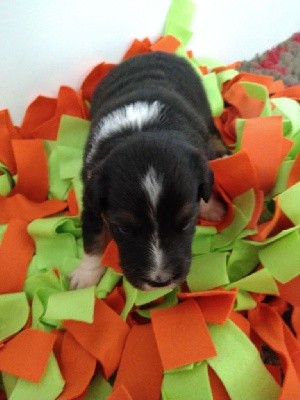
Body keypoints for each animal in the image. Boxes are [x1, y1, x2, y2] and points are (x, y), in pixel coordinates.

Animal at [70, 51, 225, 292]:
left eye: (186, 222)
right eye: (124, 228)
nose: (159, 281)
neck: (142, 129)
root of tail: (152, 53)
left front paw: (212, 208)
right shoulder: (91, 199)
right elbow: (93, 239)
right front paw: (85, 277)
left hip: (205, 112)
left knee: (214, 132)